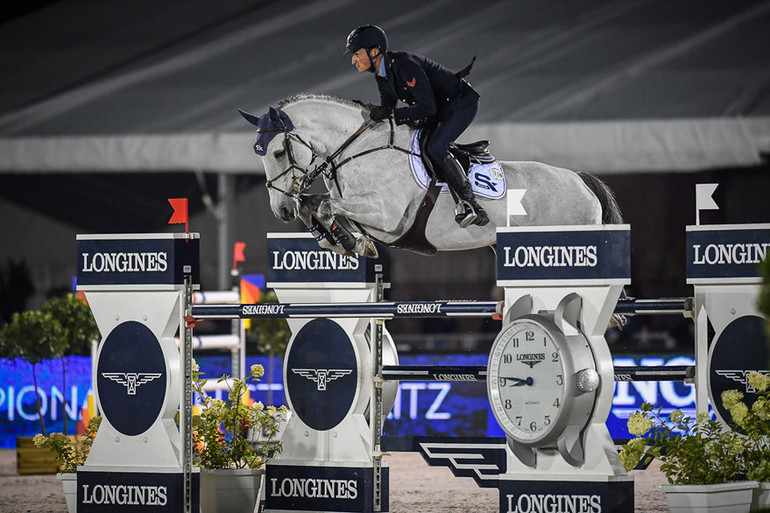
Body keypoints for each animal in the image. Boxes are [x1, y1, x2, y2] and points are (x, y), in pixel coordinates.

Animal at [237, 93, 620, 256]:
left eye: (278, 152)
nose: (280, 211)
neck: (357, 148)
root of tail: (582, 181)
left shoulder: (387, 215)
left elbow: (326, 206)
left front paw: (349, 242)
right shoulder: (360, 209)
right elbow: (315, 204)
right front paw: (343, 241)